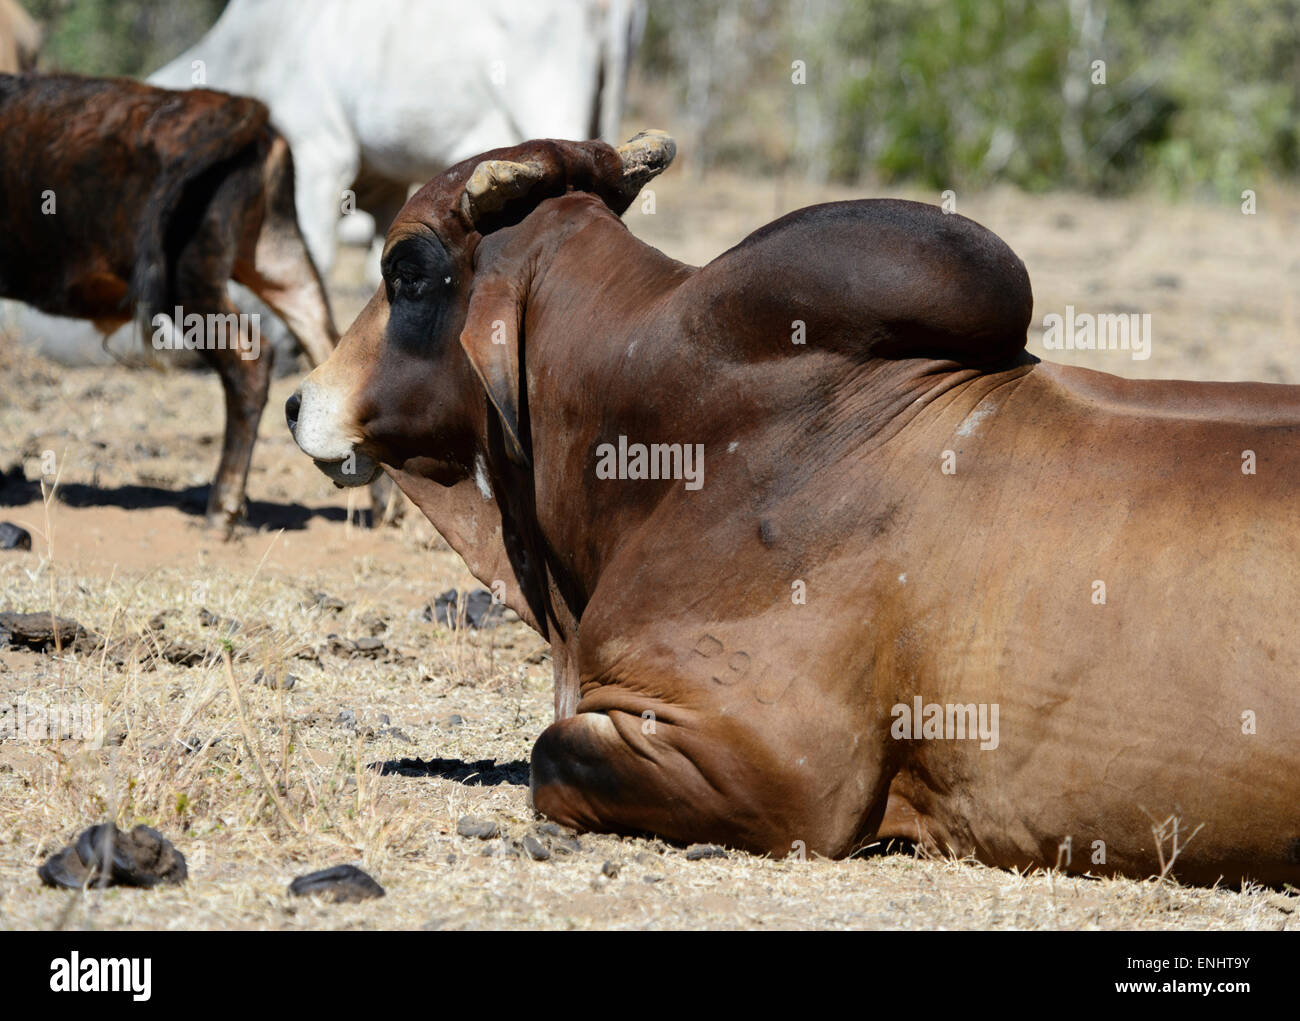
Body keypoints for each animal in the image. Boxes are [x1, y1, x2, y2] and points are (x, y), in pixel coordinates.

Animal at [1, 70, 335, 530]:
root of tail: (245, 111)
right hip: (278, 255)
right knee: (326, 337)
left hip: (191, 280)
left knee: (249, 364)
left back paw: (221, 510)